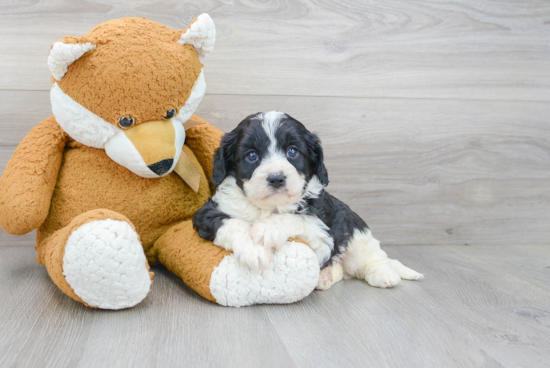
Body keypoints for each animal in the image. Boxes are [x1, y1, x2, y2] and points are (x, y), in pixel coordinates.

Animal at [192, 110, 424, 288]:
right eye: (251, 155)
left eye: (292, 152)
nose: (276, 178)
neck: (268, 207)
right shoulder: (207, 213)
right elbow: (232, 223)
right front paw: (253, 250)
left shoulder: (324, 235)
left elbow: (297, 218)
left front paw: (268, 228)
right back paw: (325, 277)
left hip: (356, 234)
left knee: (374, 256)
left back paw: (384, 274)